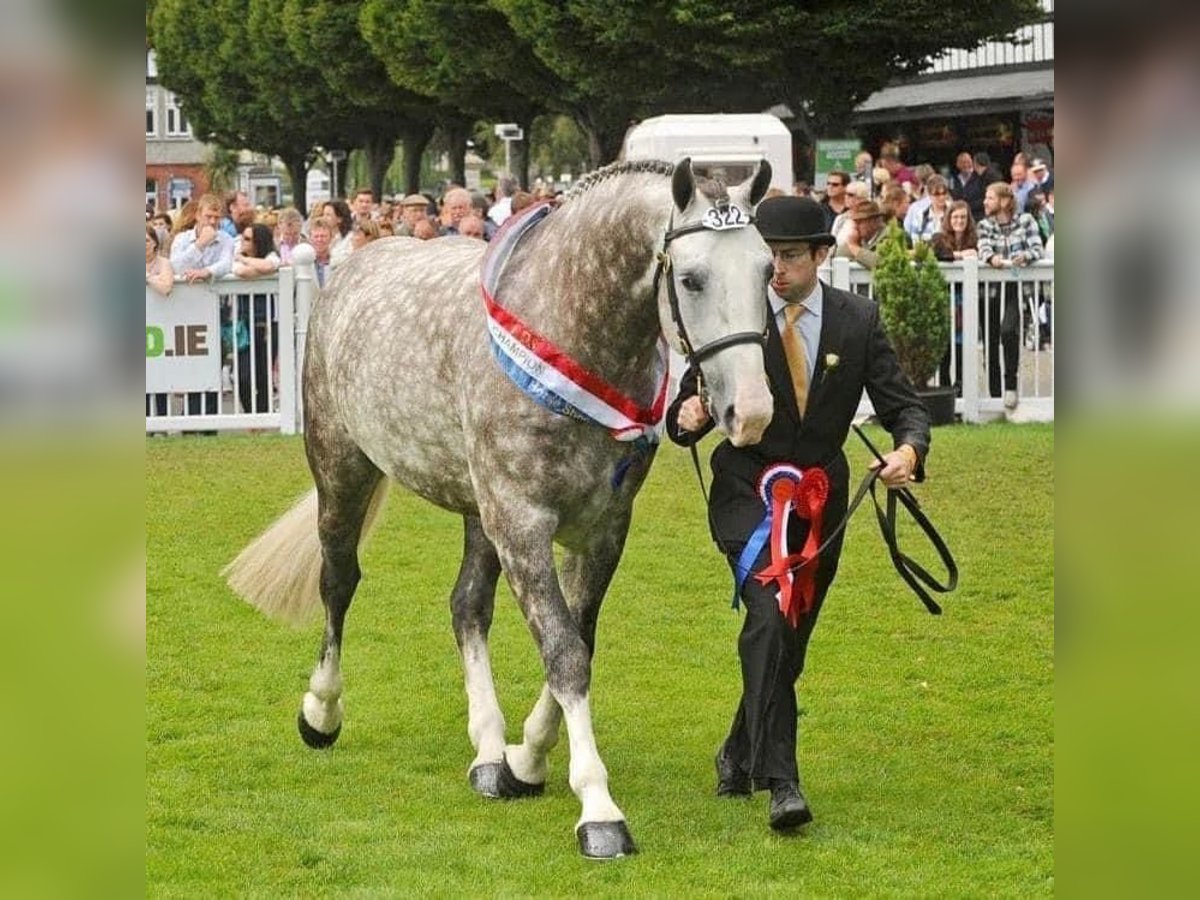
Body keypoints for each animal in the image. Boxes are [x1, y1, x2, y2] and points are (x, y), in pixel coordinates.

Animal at [225, 160, 772, 859]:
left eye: (767, 270)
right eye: (692, 277)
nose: (749, 411)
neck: (568, 329)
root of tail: (350, 263)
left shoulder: (602, 530)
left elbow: (577, 642)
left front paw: (525, 760)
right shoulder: (522, 524)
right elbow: (563, 652)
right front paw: (598, 809)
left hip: (474, 509)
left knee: (466, 606)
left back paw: (488, 750)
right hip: (343, 471)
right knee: (338, 582)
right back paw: (321, 711)